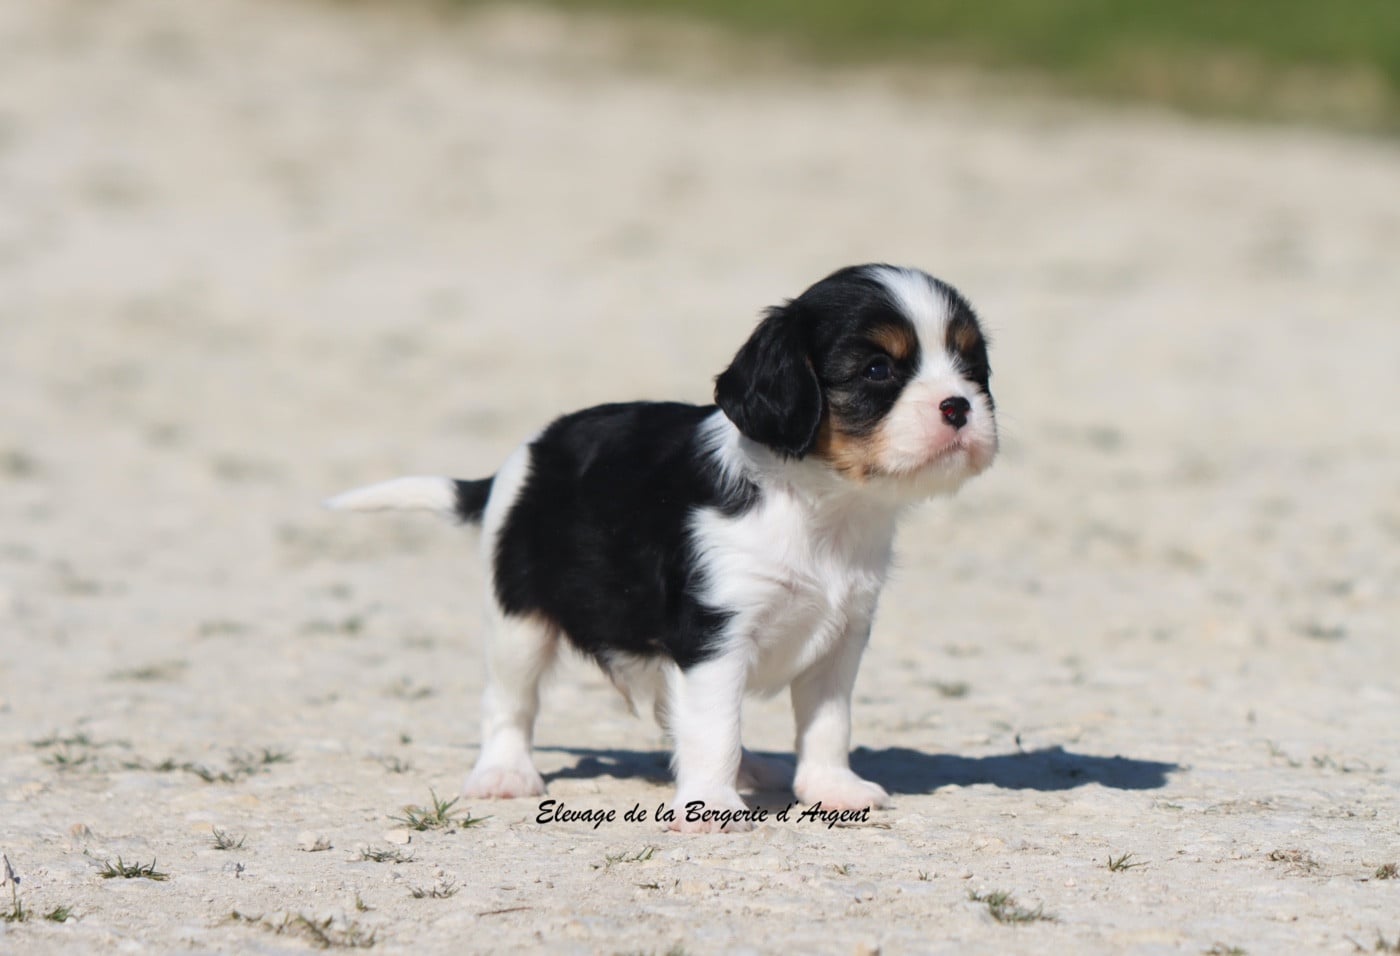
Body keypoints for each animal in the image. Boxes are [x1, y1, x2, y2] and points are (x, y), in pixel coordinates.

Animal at [328, 264, 997, 832]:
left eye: (973, 367)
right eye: (878, 370)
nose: (959, 406)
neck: (820, 505)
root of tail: (515, 464)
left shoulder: (842, 637)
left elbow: (826, 722)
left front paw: (833, 788)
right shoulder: (714, 635)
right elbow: (715, 725)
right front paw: (711, 806)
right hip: (518, 621)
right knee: (509, 703)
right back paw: (503, 773)